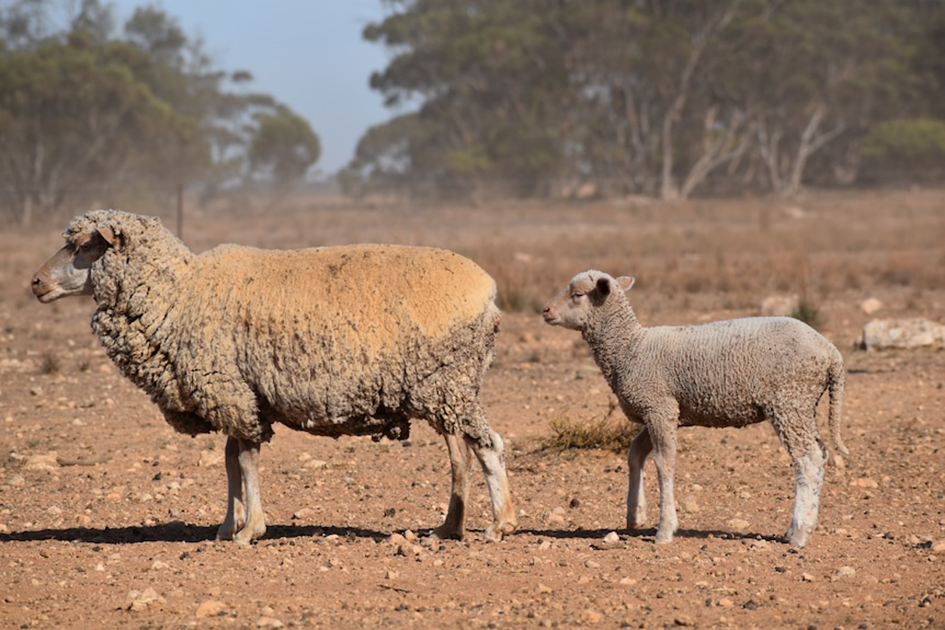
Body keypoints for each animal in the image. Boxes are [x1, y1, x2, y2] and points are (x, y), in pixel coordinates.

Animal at [33, 210, 516, 544]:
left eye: (85, 245)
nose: (35, 282)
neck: (178, 294)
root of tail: (490, 292)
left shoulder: (230, 392)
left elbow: (245, 460)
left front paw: (251, 529)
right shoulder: (238, 393)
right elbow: (230, 461)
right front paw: (227, 526)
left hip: (451, 383)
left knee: (487, 445)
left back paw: (500, 524)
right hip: (445, 387)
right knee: (461, 454)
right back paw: (449, 527)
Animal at [544, 272, 848, 548]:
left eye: (578, 294)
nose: (545, 310)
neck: (630, 347)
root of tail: (831, 352)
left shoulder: (659, 407)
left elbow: (664, 463)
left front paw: (665, 529)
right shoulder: (662, 411)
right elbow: (635, 453)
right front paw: (635, 514)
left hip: (788, 401)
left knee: (807, 459)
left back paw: (799, 531)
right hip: (803, 404)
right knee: (821, 453)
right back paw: (806, 523)